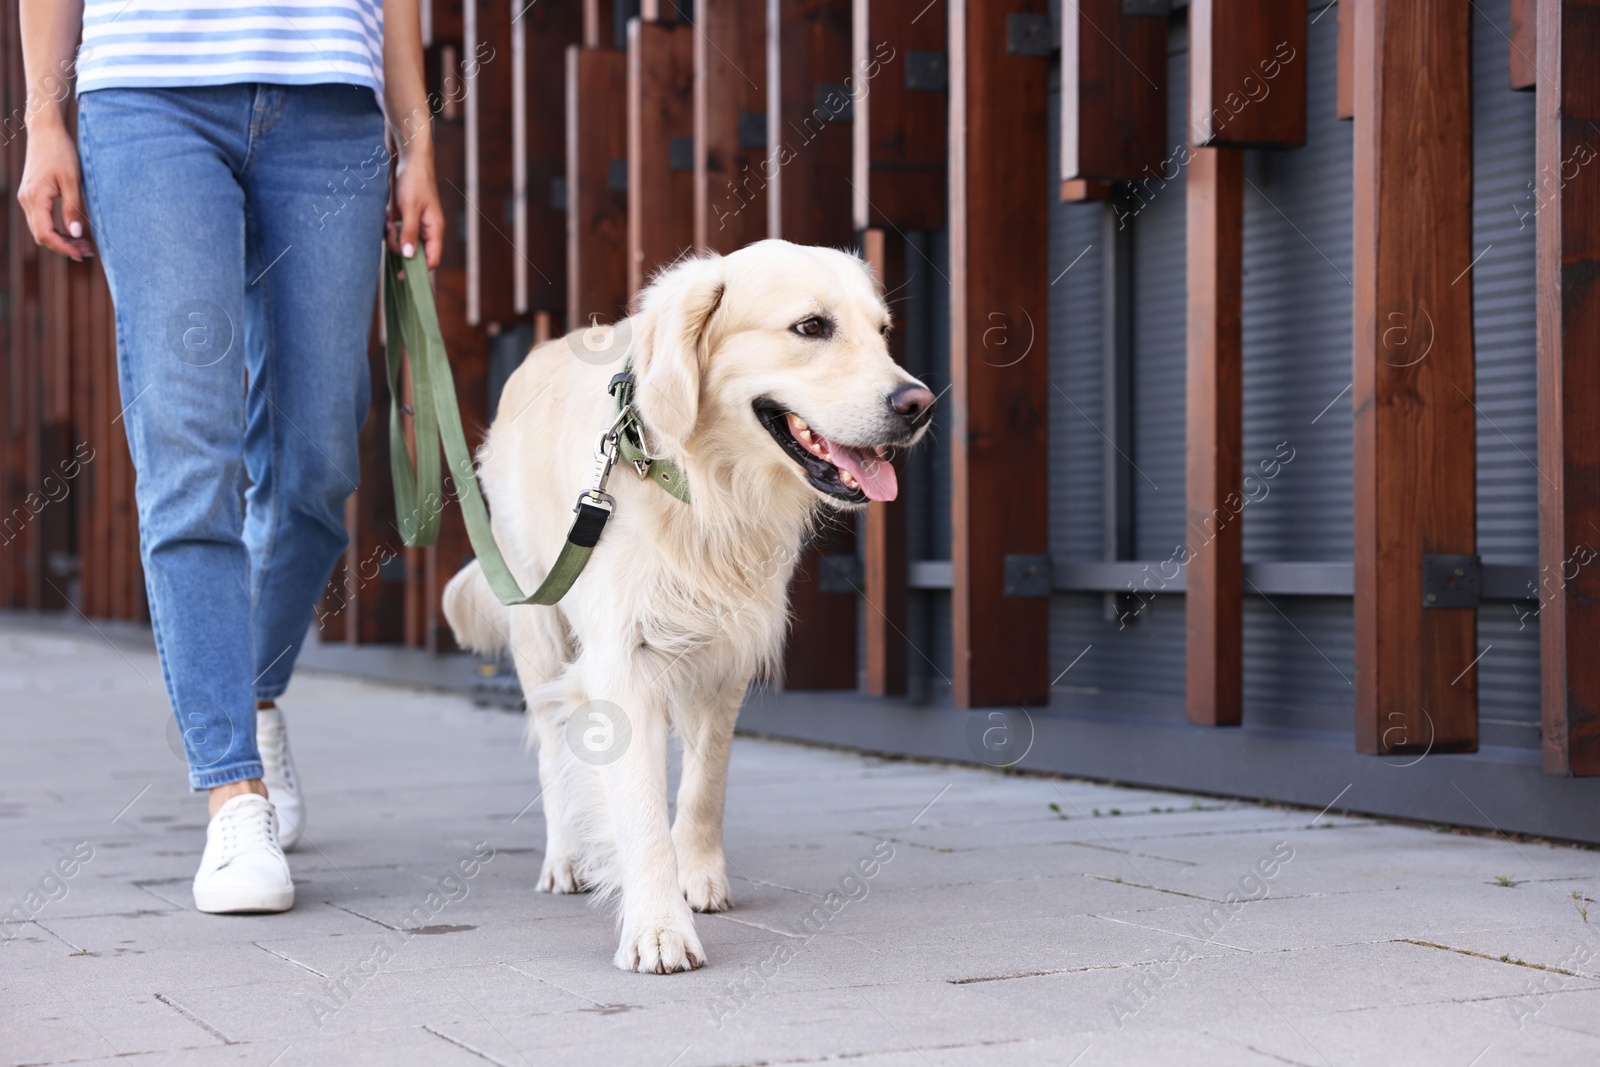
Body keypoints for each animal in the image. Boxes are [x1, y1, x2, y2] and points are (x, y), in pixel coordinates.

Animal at [441, 241, 934, 979]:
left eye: (882, 332)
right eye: (812, 327)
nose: (919, 403)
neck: (704, 485)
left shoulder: (724, 654)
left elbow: (706, 781)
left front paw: (697, 875)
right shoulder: (620, 662)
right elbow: (639, 808)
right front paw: (657, 927)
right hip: (538, 622)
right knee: (552, 747)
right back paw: (564, 858)